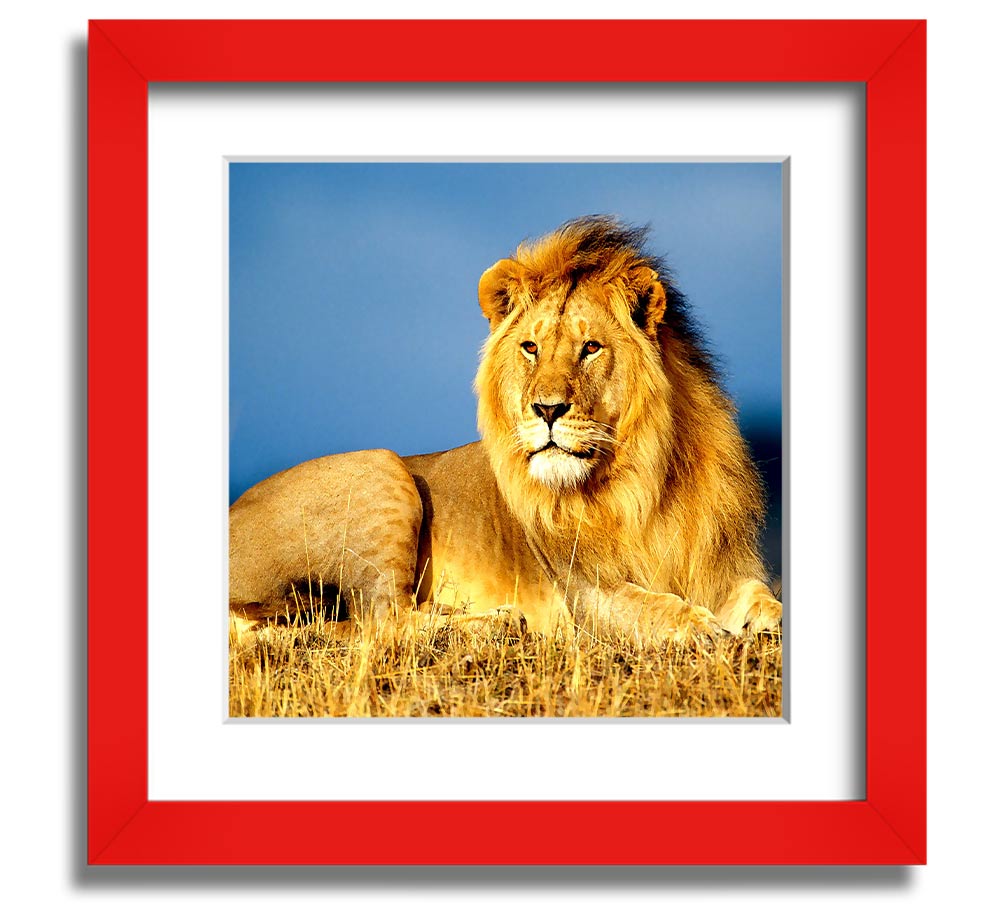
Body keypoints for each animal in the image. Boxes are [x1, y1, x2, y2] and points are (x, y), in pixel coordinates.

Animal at [229, 216, 782, 644]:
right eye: (531, 348)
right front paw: (703, 628)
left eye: (591, 347)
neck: (644, 480)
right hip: (379, 467)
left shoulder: (723, 568)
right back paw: (498, 622)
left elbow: (764, 598)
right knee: (381, 622)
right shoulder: (586, 594)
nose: (547, 409)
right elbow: (654, 607)